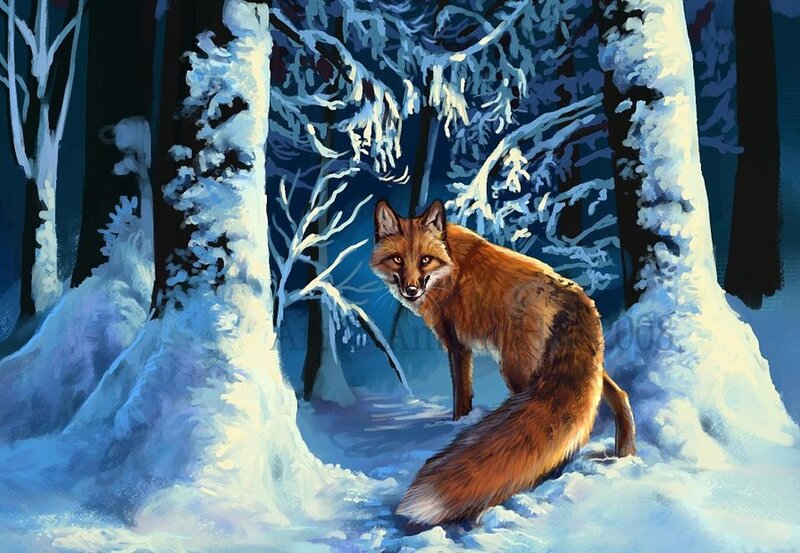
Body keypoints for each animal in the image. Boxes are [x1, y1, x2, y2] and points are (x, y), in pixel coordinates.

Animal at [371, 199, 636, 525]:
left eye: (425, 260)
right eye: (397, 260)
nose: (411, 289)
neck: (449, 265)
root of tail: (572, 292)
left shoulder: (457, 345)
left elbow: (461, 398)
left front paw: (457, 423)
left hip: (517, 370)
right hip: (585, 371)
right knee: (618, 396)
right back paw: (624, 454)